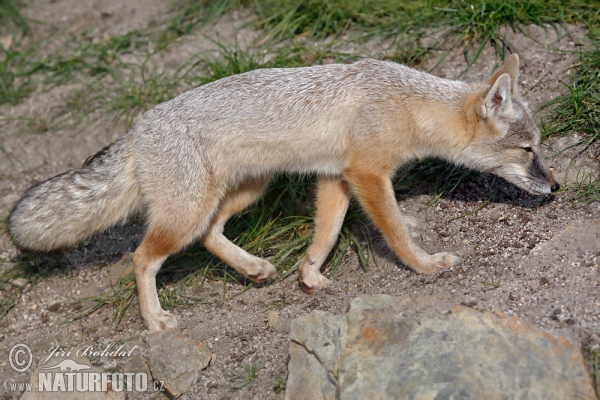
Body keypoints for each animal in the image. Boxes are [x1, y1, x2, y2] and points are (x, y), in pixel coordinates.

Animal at [7, 54, 556, 332]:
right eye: (528, 149)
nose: (555, 186)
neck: (407, 101)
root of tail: (139, 126)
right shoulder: (367, 174)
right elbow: (395, 231)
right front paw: (423, 265)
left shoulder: (336, 177)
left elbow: (326, 233)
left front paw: (309, 273)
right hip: (188, 211)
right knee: (142, 257)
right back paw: (156, 318)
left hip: (244, 192)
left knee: (210, 235)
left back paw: (254, 268)